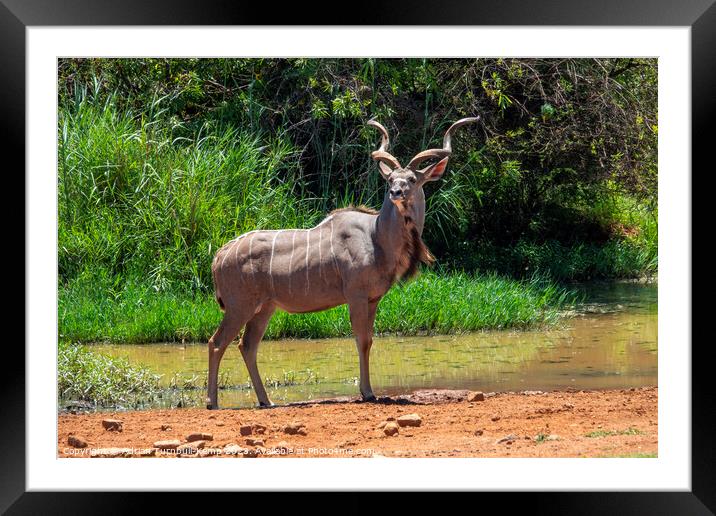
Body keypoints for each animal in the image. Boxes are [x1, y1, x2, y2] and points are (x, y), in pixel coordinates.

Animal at [206, 116, 482, 408]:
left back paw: (265, 401)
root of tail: (220, 255)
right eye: (390, 179)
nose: (396, 192)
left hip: (265, 308)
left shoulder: (373, 299)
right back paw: (212, 402)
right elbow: (361, 340)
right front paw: (368, 392)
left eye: (412, 180)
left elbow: (369, 340)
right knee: (217, 342)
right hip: (240, 306)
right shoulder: (356, 296)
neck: (376, 236)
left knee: (247, 345)